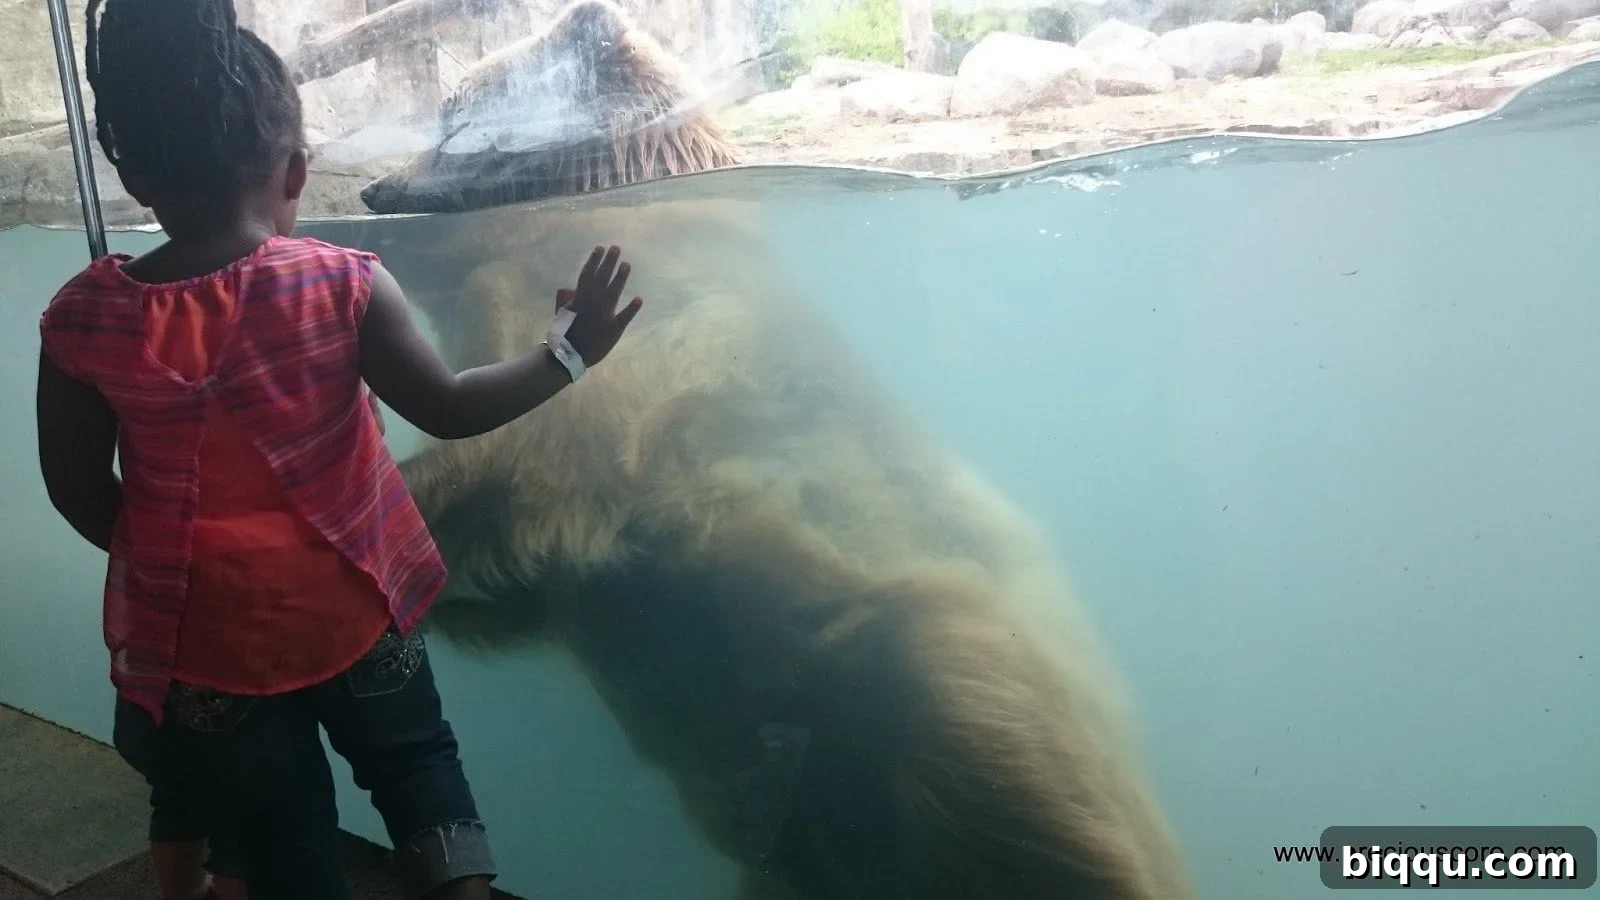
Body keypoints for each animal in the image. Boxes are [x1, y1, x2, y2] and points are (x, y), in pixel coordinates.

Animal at [360, 2, 1196, 898]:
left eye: (453, 109)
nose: (373, 190)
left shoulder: (640, 349)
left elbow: (529, 457)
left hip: (948, 660)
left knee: (1019, 802)